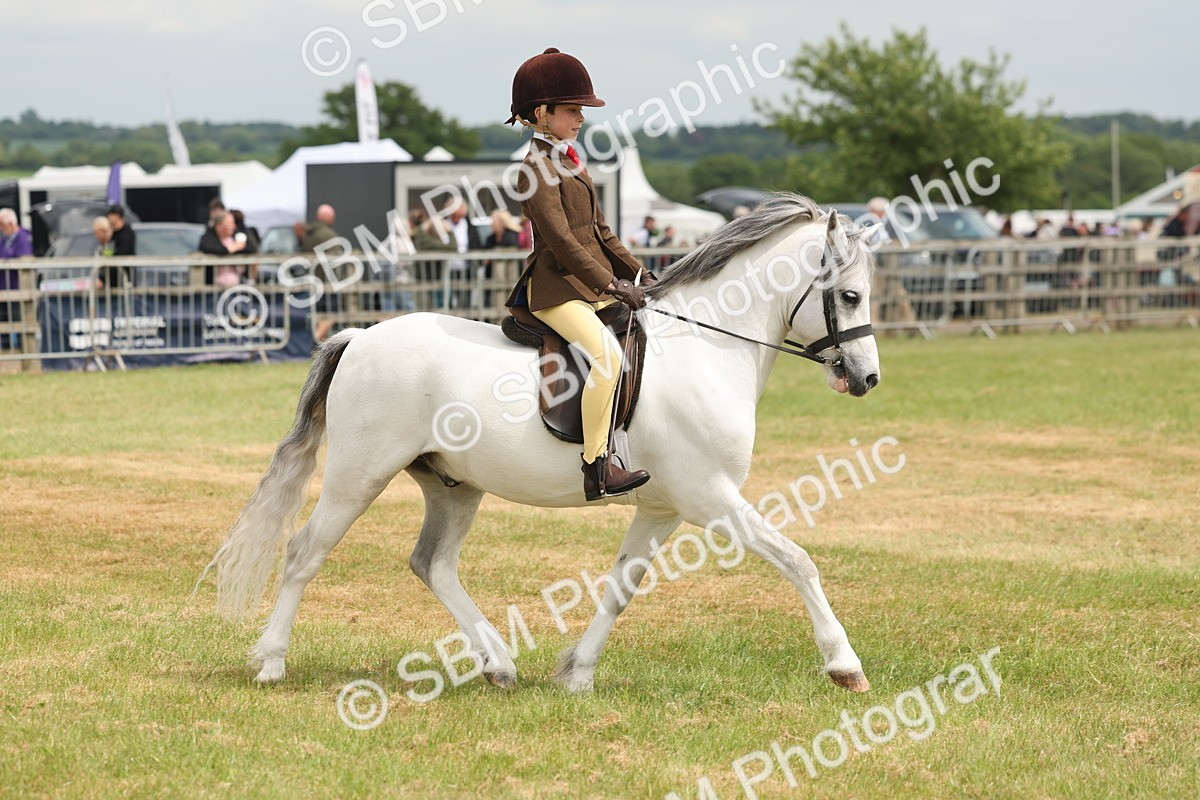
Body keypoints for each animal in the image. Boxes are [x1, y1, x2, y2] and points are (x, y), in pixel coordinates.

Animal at [202, 192, 881, 694]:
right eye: (849, 295)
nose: (867, 378)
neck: (706, 347)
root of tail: (360, 337)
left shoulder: (662, 507)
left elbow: (621, 588)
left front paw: (577, 674)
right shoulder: (709, 497)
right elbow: (797, 559)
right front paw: (845, 665)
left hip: (453, 485)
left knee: (432, 563)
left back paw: (499, 663)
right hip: (358, 476)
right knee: (304, 552)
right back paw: (271, 662)